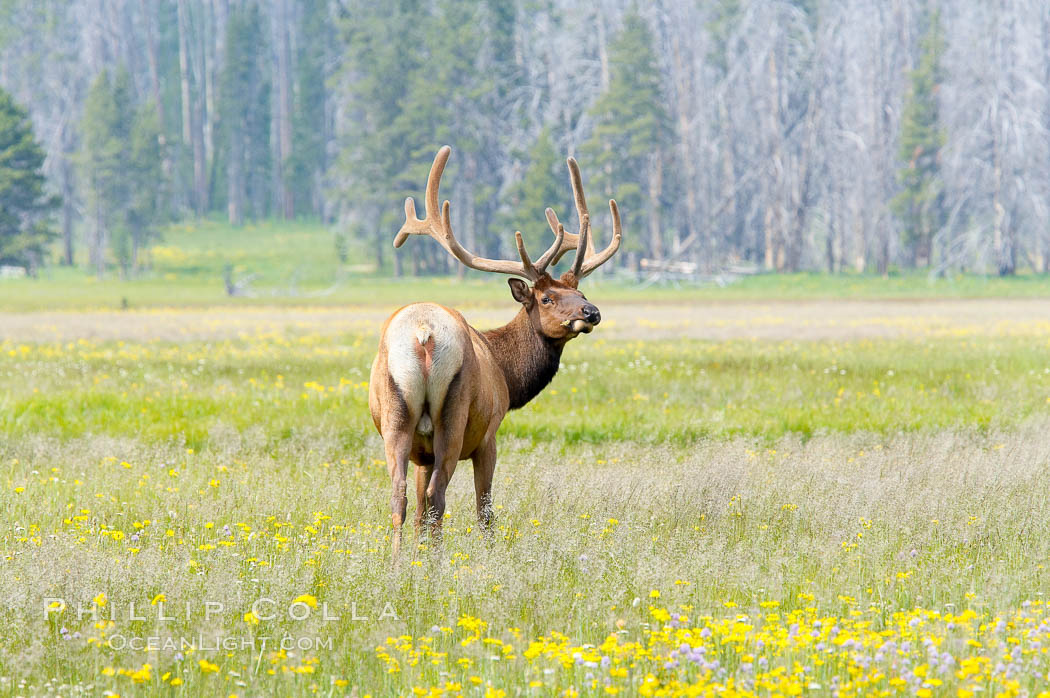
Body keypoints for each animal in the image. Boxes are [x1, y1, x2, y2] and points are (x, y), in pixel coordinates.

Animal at [367, 146, 617, 554]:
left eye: (579, 292)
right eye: (547, 298)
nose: (591, 312)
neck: (506, 373)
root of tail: (423, 333)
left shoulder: (423, 454)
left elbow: (418, 512)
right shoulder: (489, 435)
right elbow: (485, 511)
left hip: (395, 415)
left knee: (399, 497)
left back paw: (400, 562)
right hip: (454, 415)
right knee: (439, 496)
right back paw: (436, 563)